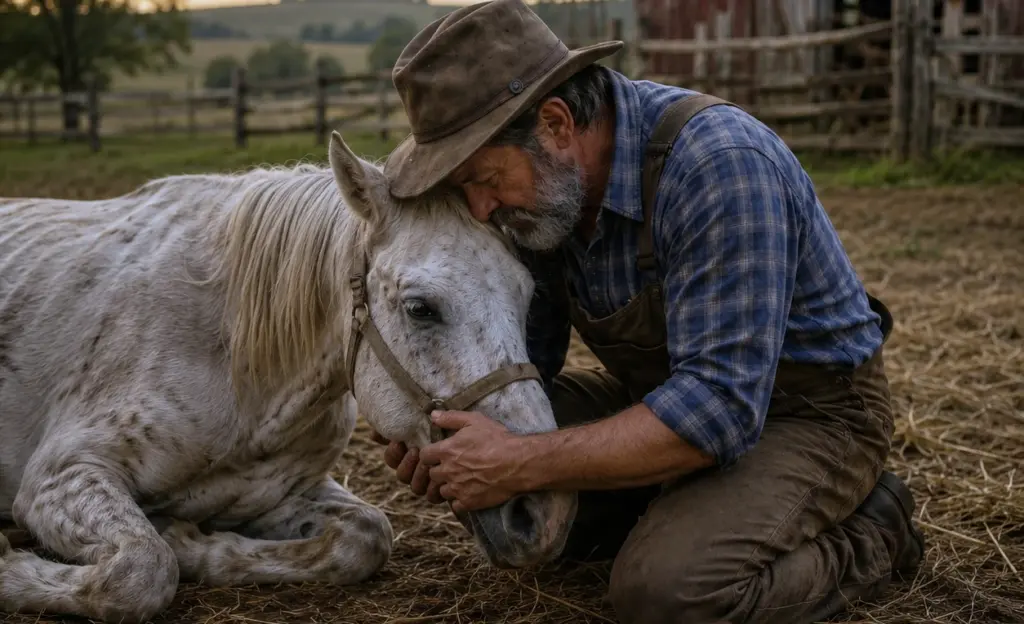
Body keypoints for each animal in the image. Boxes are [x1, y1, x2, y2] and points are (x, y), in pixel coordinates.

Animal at [0, 131, 578, 623]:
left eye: (529, 295)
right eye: (420, 308)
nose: (543, 510)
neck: (238, 366)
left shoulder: (285, 494)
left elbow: (367, 537)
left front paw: (194, 543)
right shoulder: (61, 476)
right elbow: (140, 571)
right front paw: (9, 566)